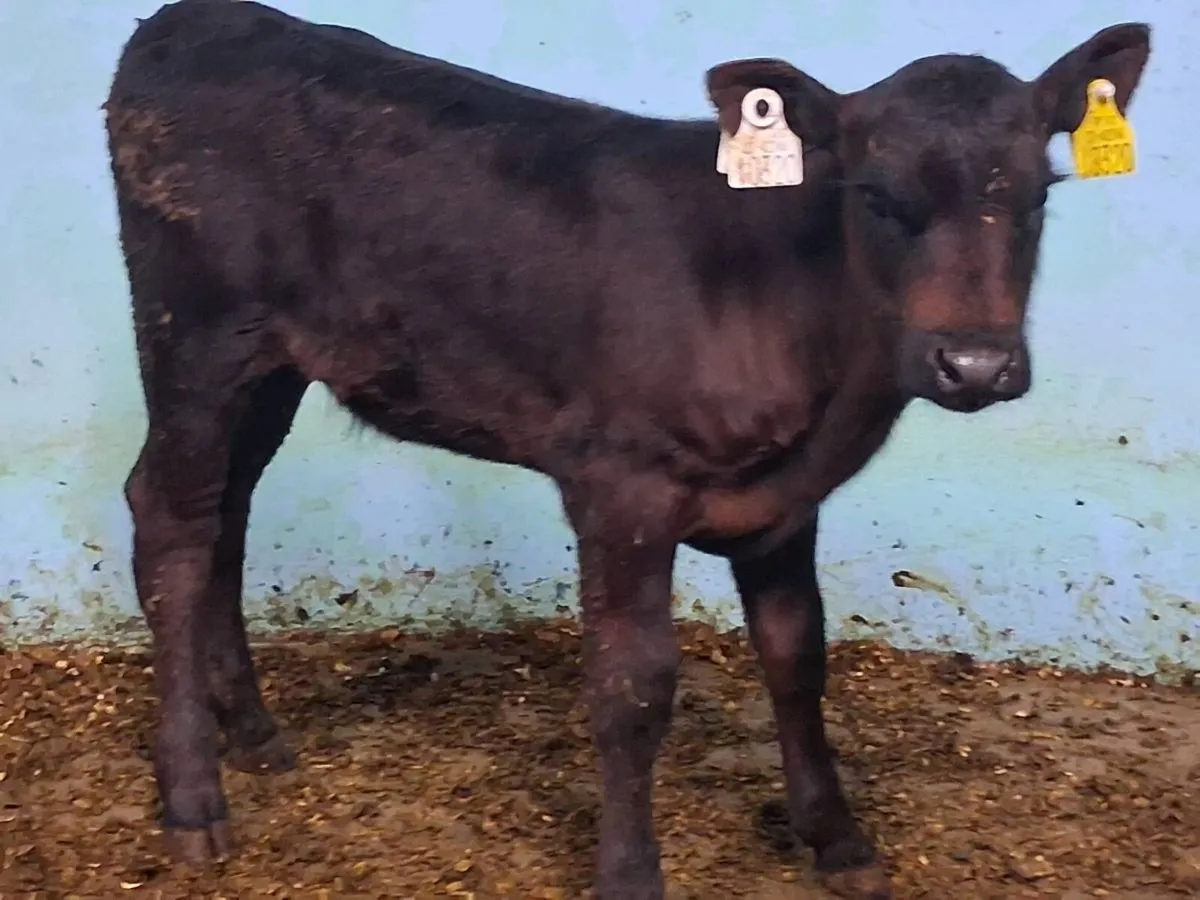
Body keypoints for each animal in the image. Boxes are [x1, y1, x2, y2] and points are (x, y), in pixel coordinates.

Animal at [103, 1, 1151, 897]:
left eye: (1036, 195)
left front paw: (836, 837)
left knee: (227, 513)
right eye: (878, 197)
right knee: (172, 524)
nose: (975, 363)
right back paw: (192, 796)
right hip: (195, 335)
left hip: (272, 363)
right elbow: (632, 689)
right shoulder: (620, 488)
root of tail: (197, 20)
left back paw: (253, 734)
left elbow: (797, 655)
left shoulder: (787, 504)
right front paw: (631, 872)